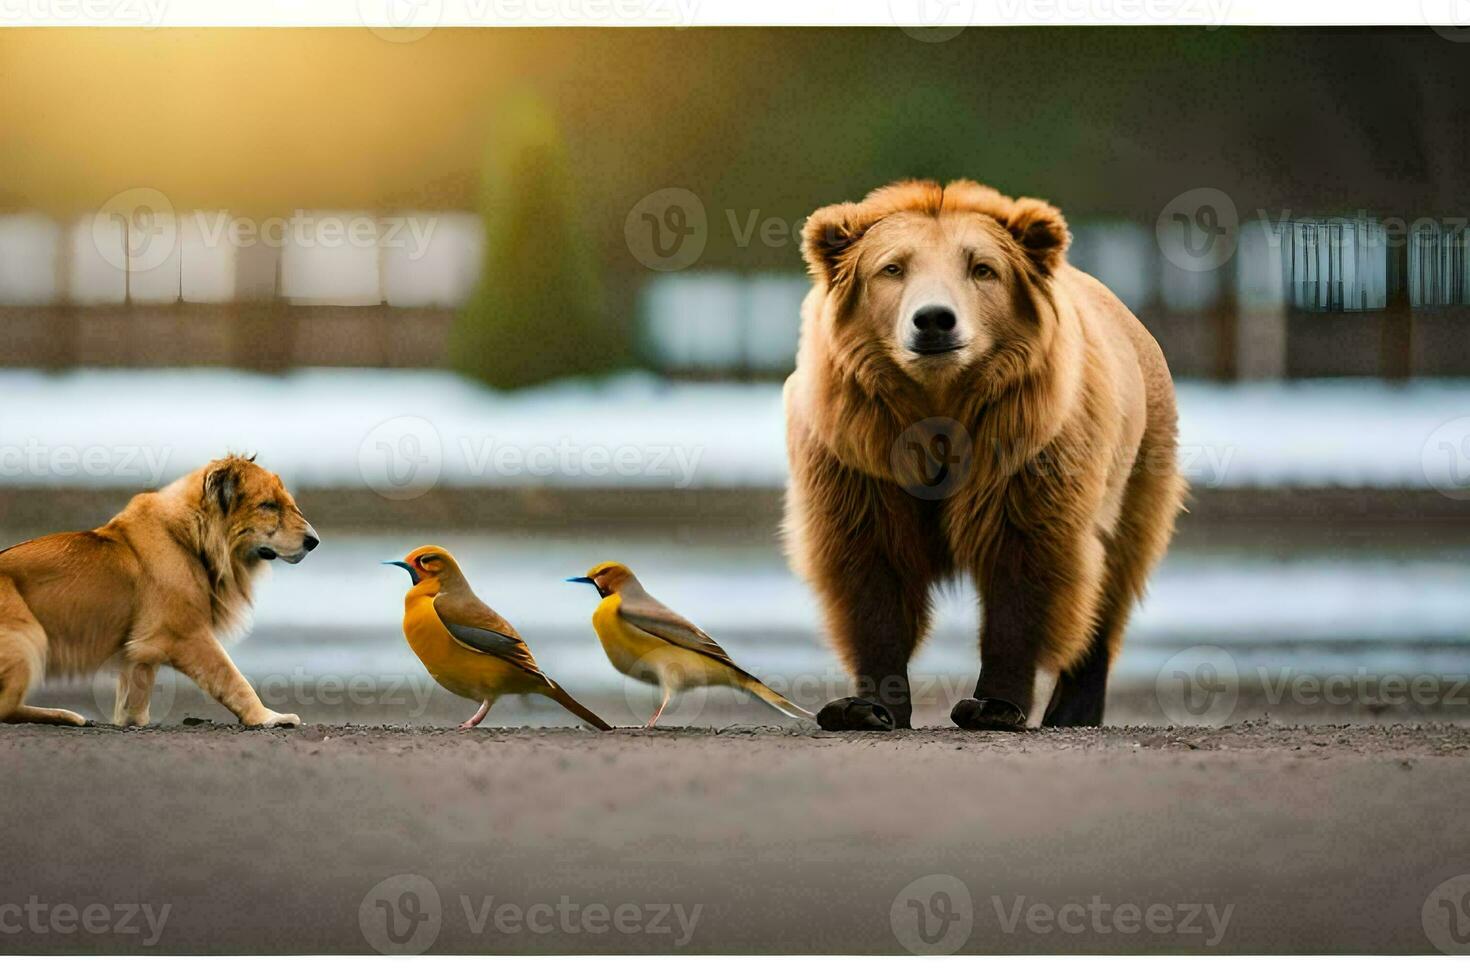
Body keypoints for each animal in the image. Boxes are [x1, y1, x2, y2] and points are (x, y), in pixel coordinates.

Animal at [0, 455, 320, 725]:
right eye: (268, 505)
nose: (313, 541)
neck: (191, 539)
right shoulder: (184, 635)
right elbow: (232, 679)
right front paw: (270, 717)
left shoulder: (140, 652)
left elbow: (134, 701)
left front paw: (130, 723)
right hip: (31, 638)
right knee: (5, 708)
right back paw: (66, 715)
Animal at [782, 176, 1181, 731]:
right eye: (892, 267)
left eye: (982, 268)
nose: (933, 320)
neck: (939, 402)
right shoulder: (860, 458)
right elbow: (871, 571)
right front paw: (867, 706)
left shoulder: (1026, 457)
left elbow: (1025, 569)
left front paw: (994, 704)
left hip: (1139, 463)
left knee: (1113, 578)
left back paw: (1073, 708)